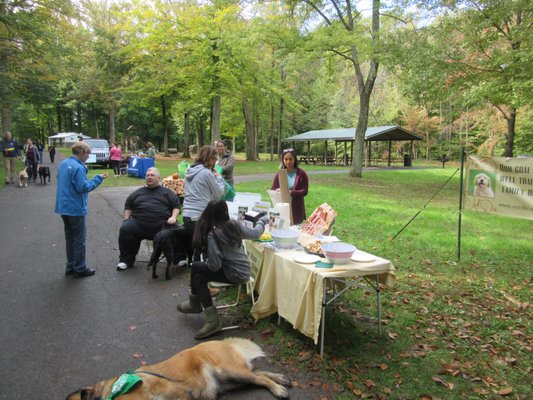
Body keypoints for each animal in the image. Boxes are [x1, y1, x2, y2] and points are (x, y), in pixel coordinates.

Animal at [67, 338, 290, 400]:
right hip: (231, 380)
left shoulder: (180, 393)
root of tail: (222, 340)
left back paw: (278, 389)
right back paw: (280, 378)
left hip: (229, 371)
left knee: (259, 378)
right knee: (258, 374)